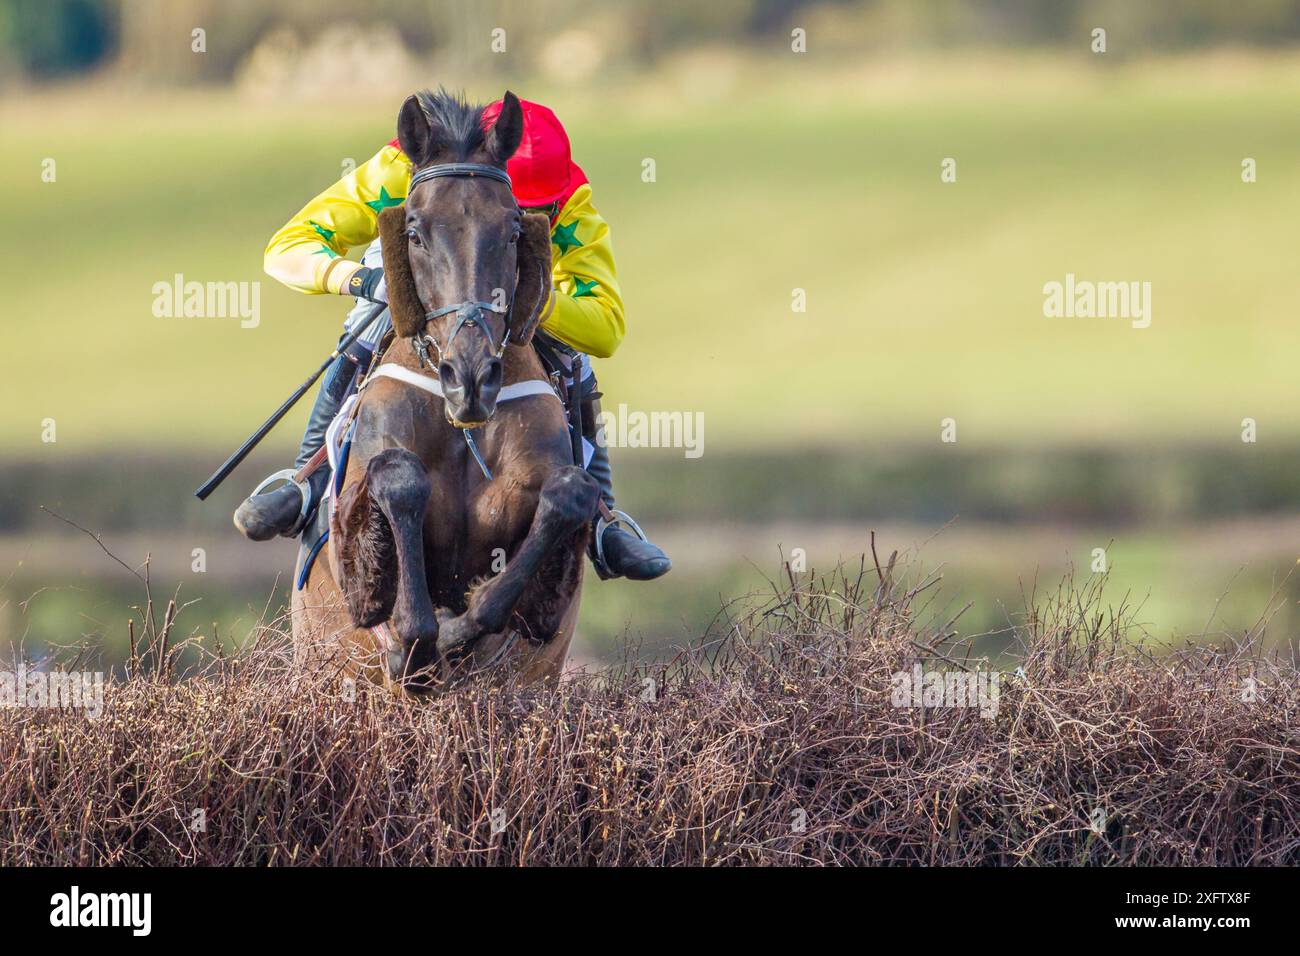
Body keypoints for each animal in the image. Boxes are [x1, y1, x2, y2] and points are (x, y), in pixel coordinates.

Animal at [291, 90, 601, 692]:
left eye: (513, 230)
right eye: (413, 232)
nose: (471, 378)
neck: (462, 429)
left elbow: (568, 495)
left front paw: (459, 628)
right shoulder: (352, 521)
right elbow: (399, 481)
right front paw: (414, 642)